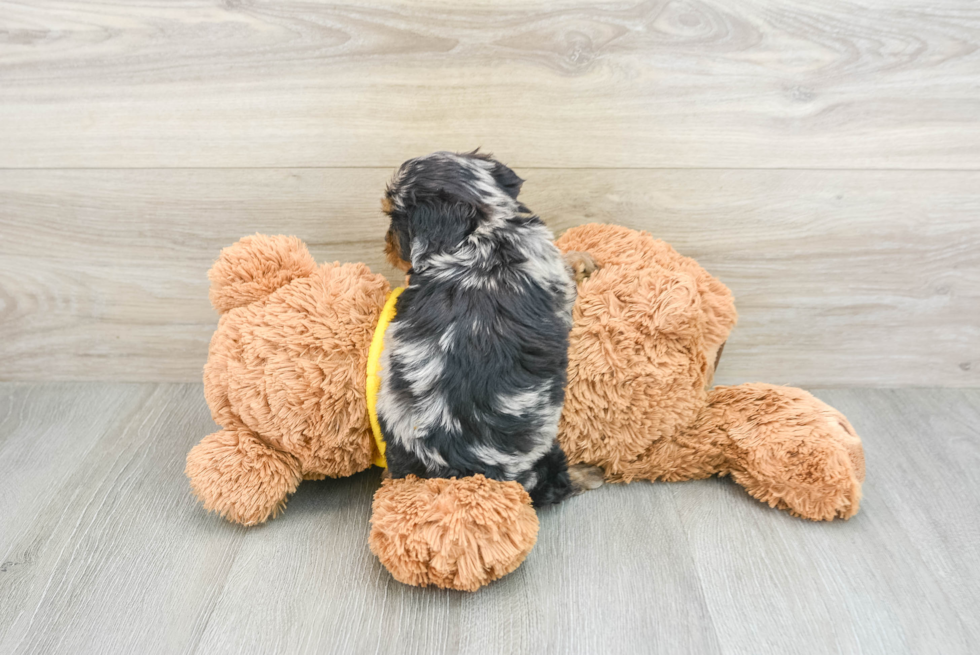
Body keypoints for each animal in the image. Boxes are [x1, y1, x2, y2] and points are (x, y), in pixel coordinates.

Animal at [378, 150, 600, 508]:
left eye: (395, 220)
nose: (386, 243)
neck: (484, 231)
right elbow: (567, 268)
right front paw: (581, 261)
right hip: (541, 460)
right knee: (556, 482)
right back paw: (588, 474)